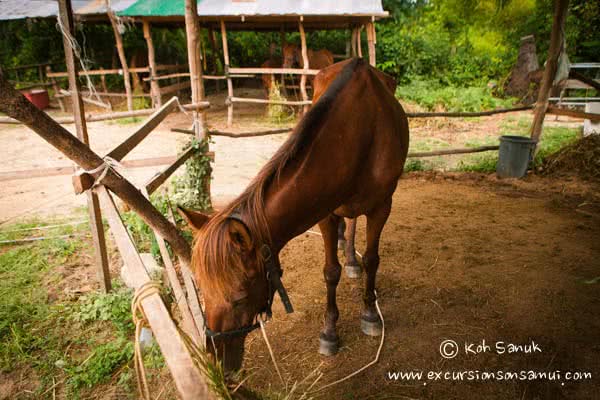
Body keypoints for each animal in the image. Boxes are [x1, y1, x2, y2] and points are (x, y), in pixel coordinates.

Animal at [178, 57, 410, 370]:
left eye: (239, 299)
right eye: (201, 289)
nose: (216, 360)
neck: (359, 133)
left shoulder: (382, 207)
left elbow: (372, 260)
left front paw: (370, 313)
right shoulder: (326, 212)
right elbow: (331, 271)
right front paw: (329, 331)